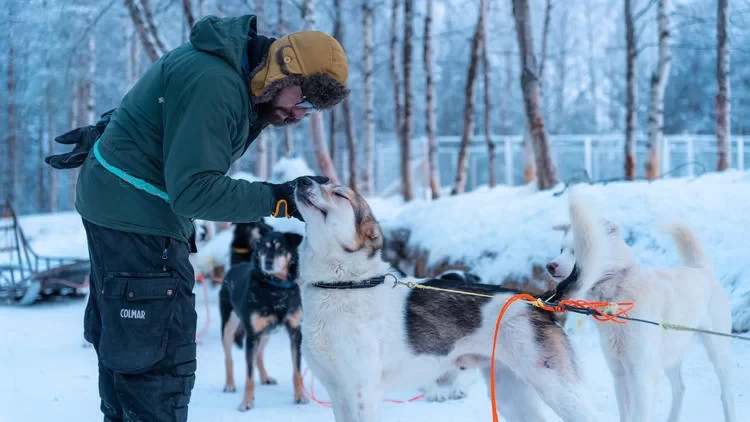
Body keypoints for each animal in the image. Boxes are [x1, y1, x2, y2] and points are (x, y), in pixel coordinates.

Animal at [219, 229, 306, 410]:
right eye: (263, 248)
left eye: (281, 248)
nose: (268, 262)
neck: (276, 289)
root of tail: (235, 267)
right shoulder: (252, 335)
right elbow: (249, 375)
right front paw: (246, 402)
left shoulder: (295, 332)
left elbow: (297, 371)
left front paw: (300, 396)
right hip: (229, 326)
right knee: (228, 357)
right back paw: (229, 384)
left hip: (268, 332)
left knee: (259, 354)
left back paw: (265, 377)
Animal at [294, 178, 600, 422]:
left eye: (340, 194)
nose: (302, 180)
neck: (343, 285)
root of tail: (534, 298)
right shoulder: (339, 394)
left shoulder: (362, 394)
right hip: (511, 397)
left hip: (558, 390)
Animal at [544, 188, 736, 422]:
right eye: (561, 249)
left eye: (577, 251)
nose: (550, 266)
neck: (616, 294)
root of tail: (701, 269)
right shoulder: (619, 376)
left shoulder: (641, 378)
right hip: (670, 354)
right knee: (680, 387)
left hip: (716, 349)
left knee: (726, 392)